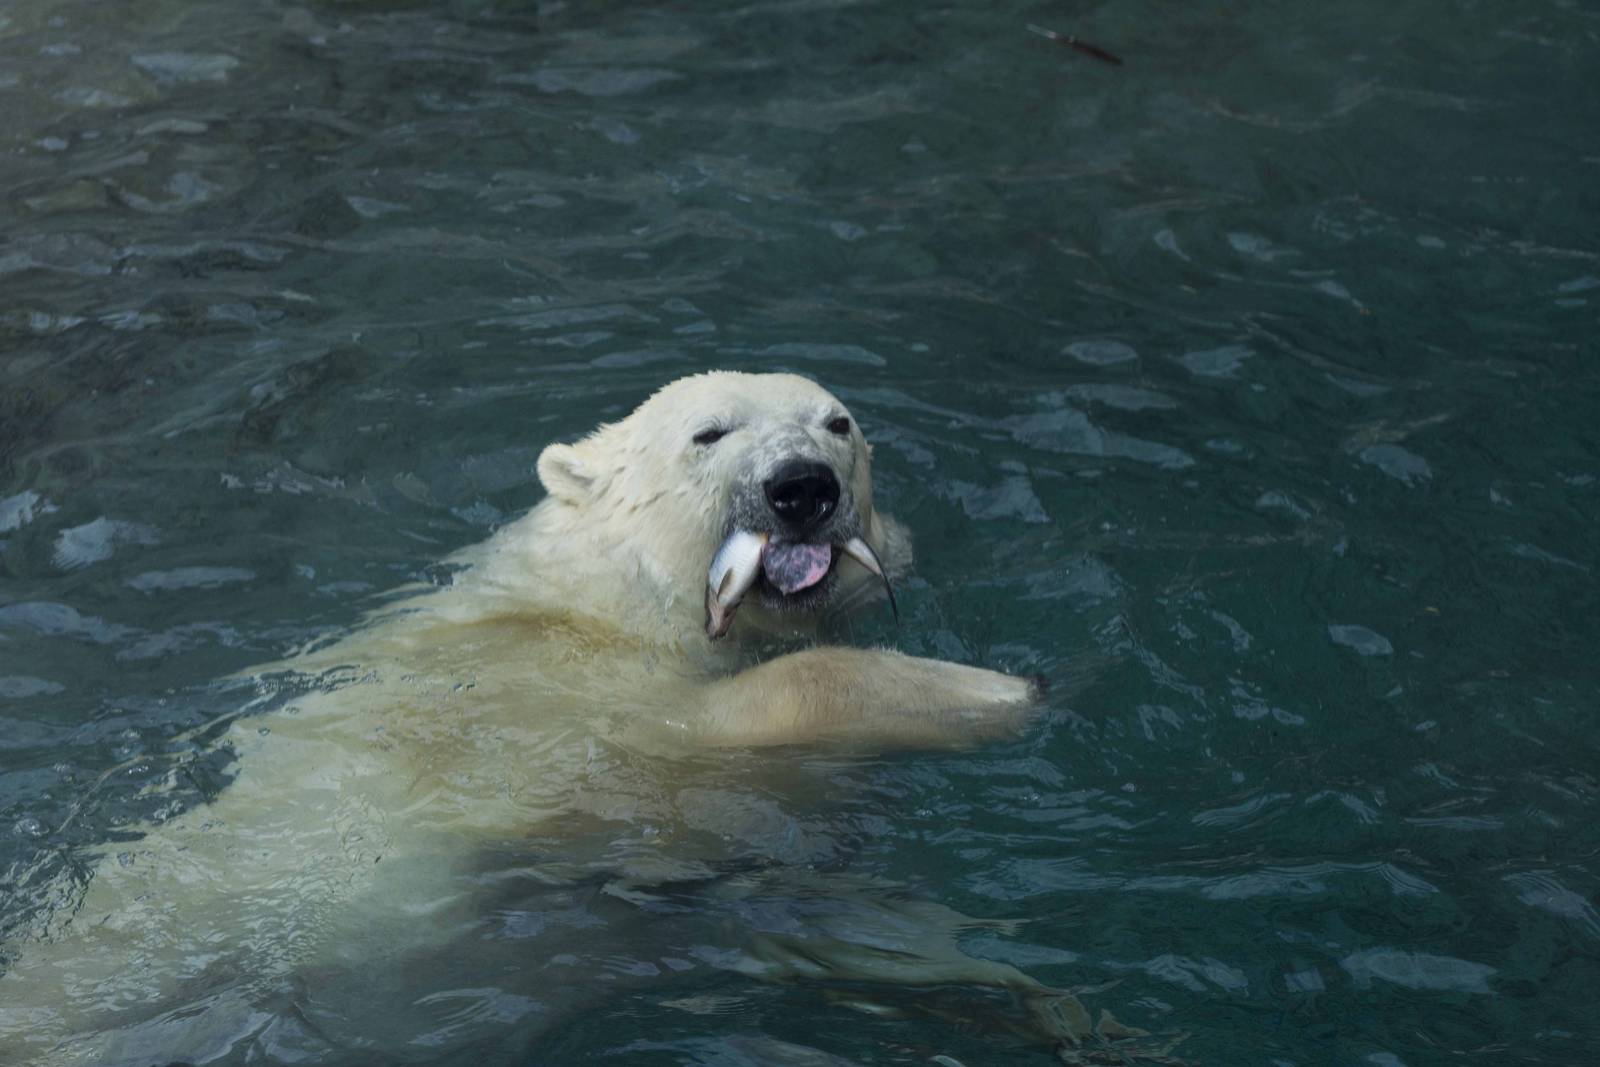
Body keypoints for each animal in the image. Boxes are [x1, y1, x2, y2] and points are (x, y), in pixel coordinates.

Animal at [0, 371, 1054, 1065]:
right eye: (709, 432)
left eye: (838, 424)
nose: (803, 484)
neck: (600, 602)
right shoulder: (558, 716)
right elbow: (736, 721)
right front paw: (994, 691)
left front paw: (1028, 1002)